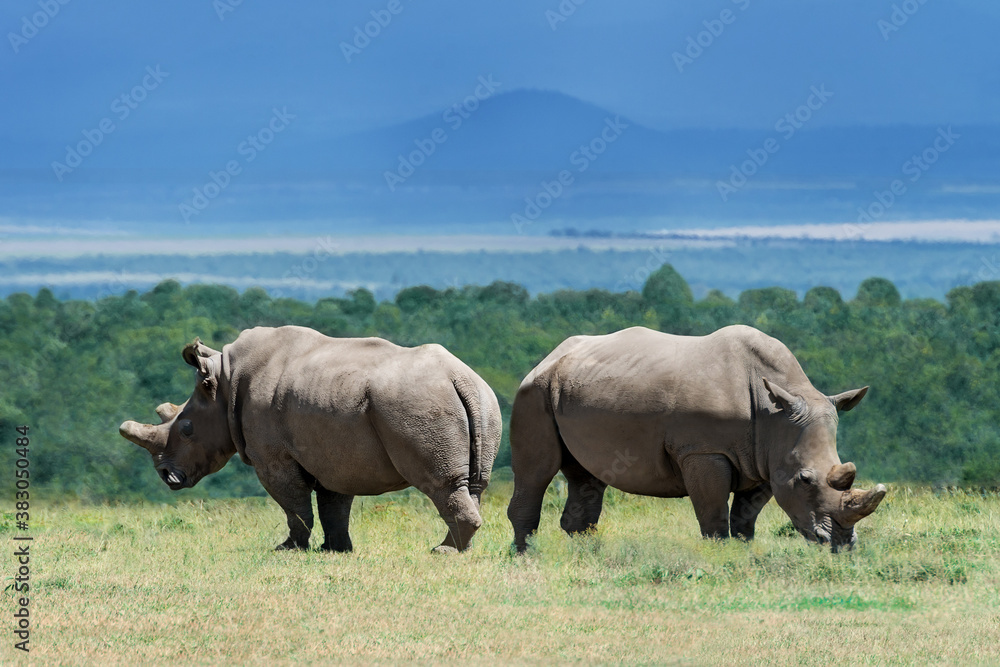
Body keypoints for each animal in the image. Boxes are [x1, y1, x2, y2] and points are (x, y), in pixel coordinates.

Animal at [120, 325, 501, 553]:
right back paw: (461, 549)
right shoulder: (336, 452)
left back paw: (443, 552)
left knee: (441, 484)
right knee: (474, 484)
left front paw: (288, 549)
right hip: (484, 401)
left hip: (417, 403)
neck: (224, 382)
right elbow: (335, 504)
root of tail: (459, 378)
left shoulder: (273, 457)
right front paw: (336, 550)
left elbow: (293, 504)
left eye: (186, 429)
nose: (166, 477)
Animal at [507, 325, 886, 553]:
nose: (840, 544)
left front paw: (743, 552)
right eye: (805, 480)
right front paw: (720, 556)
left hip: (577, 389)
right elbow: (714, 513)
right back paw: (527, 557)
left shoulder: (765, 459)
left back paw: (584, 554)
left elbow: (746, 517)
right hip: (533, 391)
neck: (775, 413)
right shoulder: (704, 452)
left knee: (588, 477)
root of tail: (548, 357)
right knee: (536, 472)